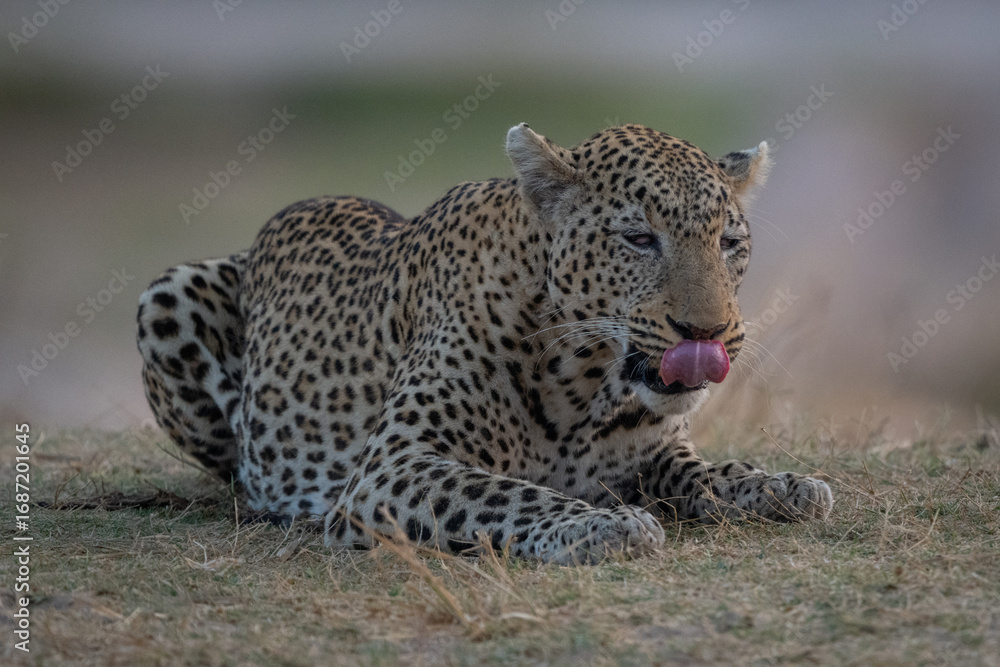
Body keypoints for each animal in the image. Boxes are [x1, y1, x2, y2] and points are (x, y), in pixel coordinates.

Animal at [136, 123, 833, 565]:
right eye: (638, 239)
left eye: (729, 243)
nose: (708, 334)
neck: (586, 377)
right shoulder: (393, 467)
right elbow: (498, 493)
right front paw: (601, 523)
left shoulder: (655, 452)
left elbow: (710, 473)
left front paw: (785, 486)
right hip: (165, 295)